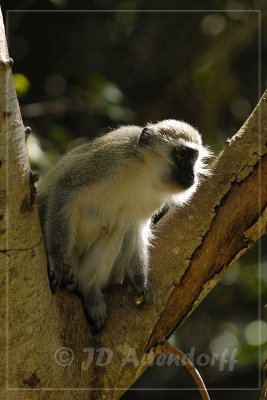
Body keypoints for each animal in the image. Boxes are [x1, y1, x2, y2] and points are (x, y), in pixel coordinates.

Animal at [38, 119, 213, 334]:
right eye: (181, 153)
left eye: (194, 156)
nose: (191, 174)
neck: (144, 174)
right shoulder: (110, 160)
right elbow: (65, 189)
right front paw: (56, 260)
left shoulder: (154, 199)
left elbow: (137, 229)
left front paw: (141, 281)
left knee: (122, 230)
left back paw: (89, 291)